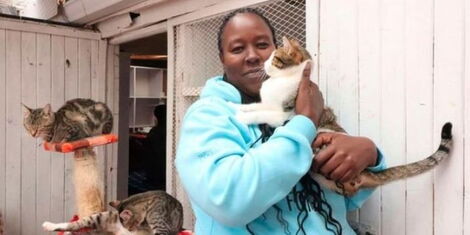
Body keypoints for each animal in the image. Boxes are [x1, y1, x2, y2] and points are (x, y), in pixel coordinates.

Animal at [42, 191, 184, 235]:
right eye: (129, 227)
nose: (128, 231)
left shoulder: (162, 227)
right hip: (101, 216)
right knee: (75, 224)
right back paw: (50, 225)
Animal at [237, 36, 454, 196]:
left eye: (274, 57)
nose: (263, 63)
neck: (283, 80)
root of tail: (366, 173)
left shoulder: (283, 113)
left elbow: (262, 113)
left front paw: (241, 117)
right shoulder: (268, 103)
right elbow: (256, 106)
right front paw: (237, 107)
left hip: (322, 134)